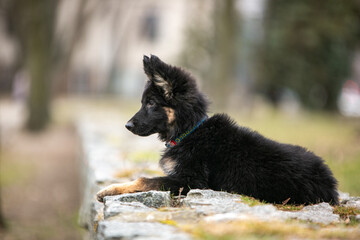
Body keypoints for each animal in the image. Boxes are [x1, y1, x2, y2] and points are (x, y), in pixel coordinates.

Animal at [96, 55, 338, 205]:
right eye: (143, 102)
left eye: (151, 103)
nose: (127, 126)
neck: (190, 132)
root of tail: (331, 184)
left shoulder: (191, 181)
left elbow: (144, 179)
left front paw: (109, 189)